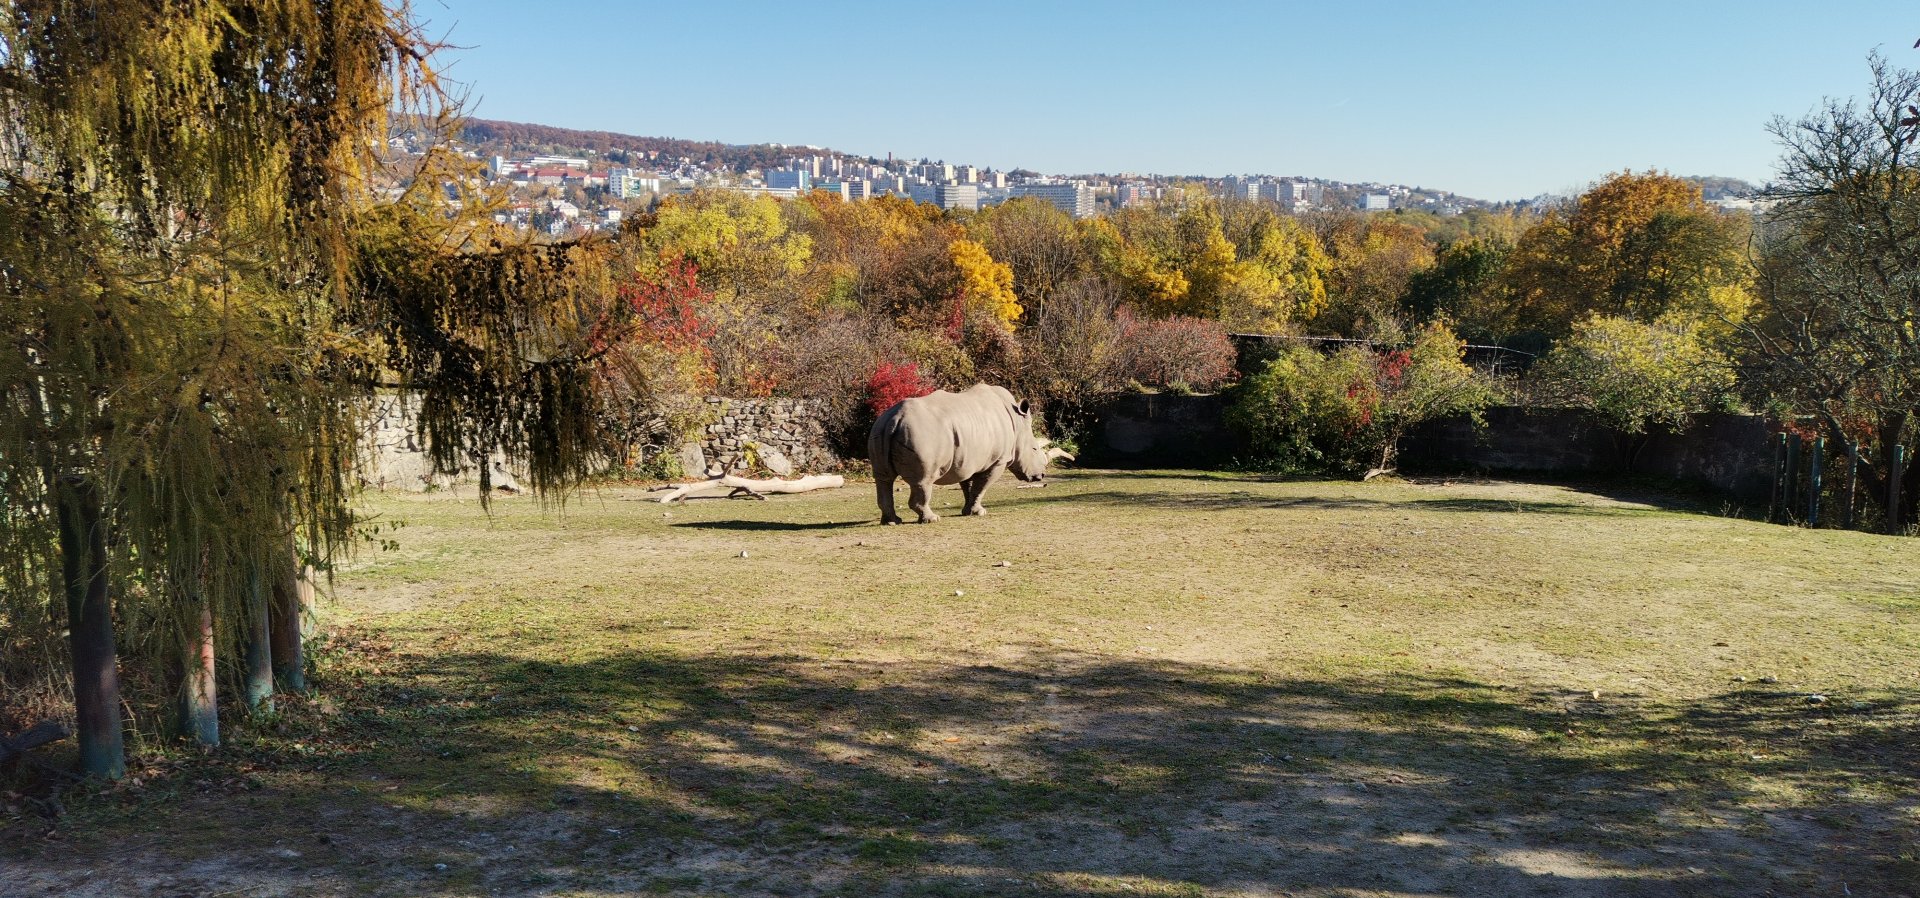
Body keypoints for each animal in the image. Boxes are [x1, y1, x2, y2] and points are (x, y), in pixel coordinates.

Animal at [869, 384, 1071, 524]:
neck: (1017, 424)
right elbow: (982, 486)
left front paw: (968, 511)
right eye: (1035, 449)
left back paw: (892, 521)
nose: (1041, 475)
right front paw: (979, 512)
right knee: (923, 481)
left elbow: (969, 485)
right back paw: (932, 519)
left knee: (884, 479)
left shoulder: (968, 460)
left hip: (879, 428)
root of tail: (895, 418)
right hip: (920, 434)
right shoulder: (997, 461)